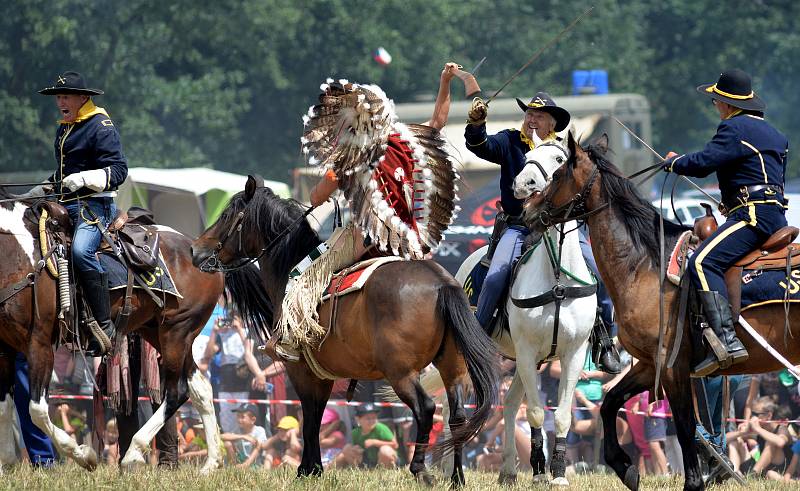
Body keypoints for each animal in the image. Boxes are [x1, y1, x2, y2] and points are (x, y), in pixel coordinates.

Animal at [0, 190, 223, 474]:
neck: (18, 256)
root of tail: (202, 255)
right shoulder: (4, 348)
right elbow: (4, 408)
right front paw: (7, 463)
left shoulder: (38, 343)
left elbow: (37, 410)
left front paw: (83, 455)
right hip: (159, 332)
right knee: (201, 389)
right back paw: (211, 463)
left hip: (178, 331)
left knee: (176, 392)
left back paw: (133, 453)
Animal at [191, 178, 496, 488]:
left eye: (226, 216)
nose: (195, 250)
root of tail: (441, 283)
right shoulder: (323, 376)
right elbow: (316, 415)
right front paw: (313, 468)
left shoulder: (302, 371)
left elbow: (309, 417)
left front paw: (307, 469)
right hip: (451, 366)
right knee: (457, 417)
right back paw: (457, 477)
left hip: (401, 372)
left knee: (425, 408)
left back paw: (420, 469)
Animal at [520, 133, 800, 490]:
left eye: (557, 174)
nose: (527, 209)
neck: (643, 266)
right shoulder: (649, 363)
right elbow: (610, 404)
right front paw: (624, 466)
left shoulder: (671, 366)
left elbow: (683, 425)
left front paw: (693, 481)